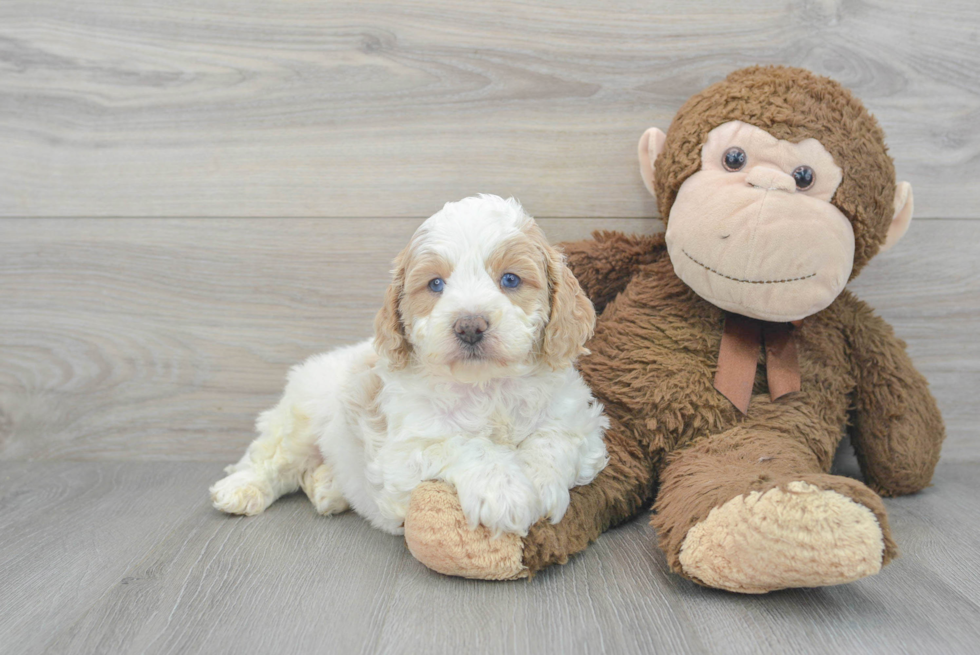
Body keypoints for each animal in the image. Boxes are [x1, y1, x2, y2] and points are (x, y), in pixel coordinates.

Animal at [209, 195, 604, 540]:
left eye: (510, 279)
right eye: (436, 284)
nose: (470, 326)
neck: (487, 386)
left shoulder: (583, 425)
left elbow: (553, 437)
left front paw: (541, 482)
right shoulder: (404, 453)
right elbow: (467, 444)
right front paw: (505, 492)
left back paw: (328, 487)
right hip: (301, 419)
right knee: (271, 457)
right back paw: (240, 489)